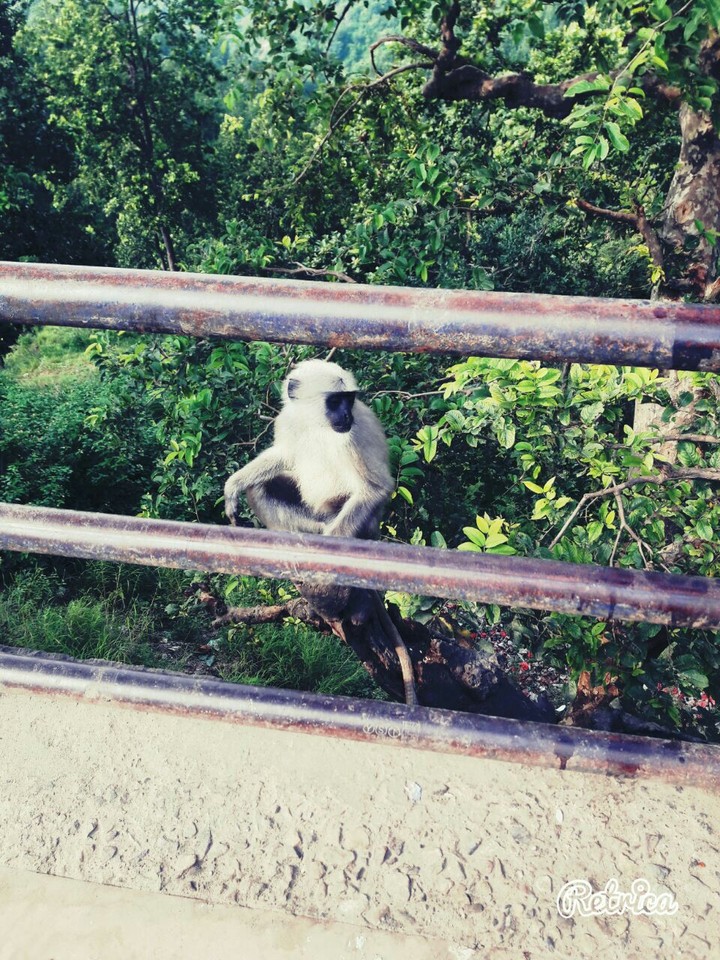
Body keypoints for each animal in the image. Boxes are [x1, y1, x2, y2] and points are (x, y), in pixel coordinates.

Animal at [224, 358, 417, 706]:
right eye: (335, 401)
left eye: (349, 401)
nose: (346, 416)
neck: (317, 425)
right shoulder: (288, 420)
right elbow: (283, 456)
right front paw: (233, 485)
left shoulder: (350, 438)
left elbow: (375, 488)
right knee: (261, 489)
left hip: (358, 525)